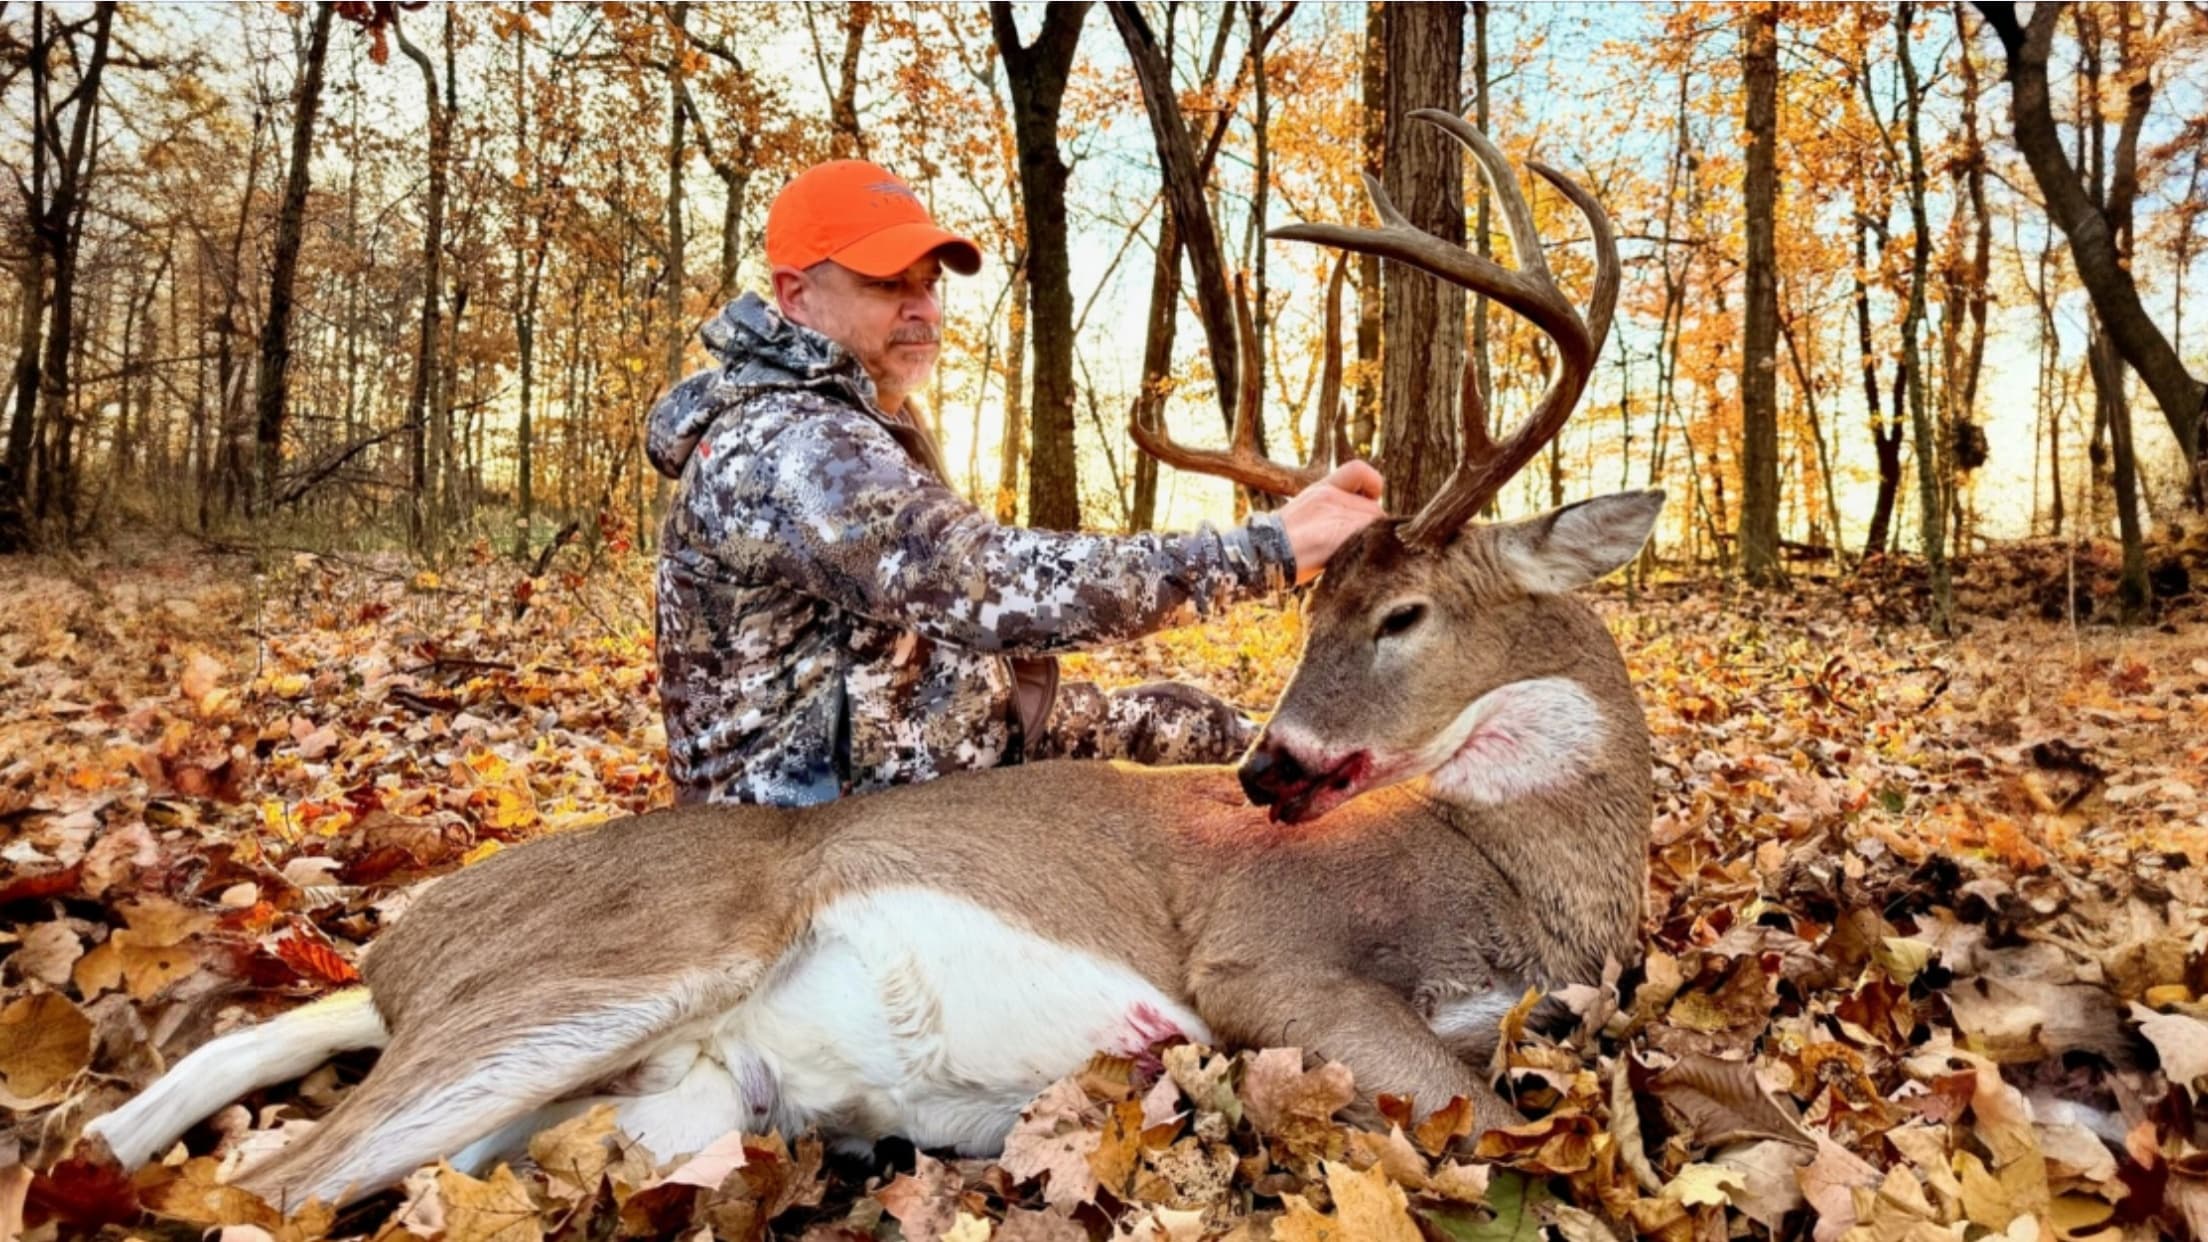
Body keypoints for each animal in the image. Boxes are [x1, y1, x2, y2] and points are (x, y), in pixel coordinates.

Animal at [82, 111, 1653, 1212]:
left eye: (1401, 616)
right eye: (1328, 611)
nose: (1270, 768)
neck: (1521, 875)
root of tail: (398, 943)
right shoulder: (1270, 957)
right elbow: (1506, 1126)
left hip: (664, 1106)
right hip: (629, 955)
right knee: (262, 1186)